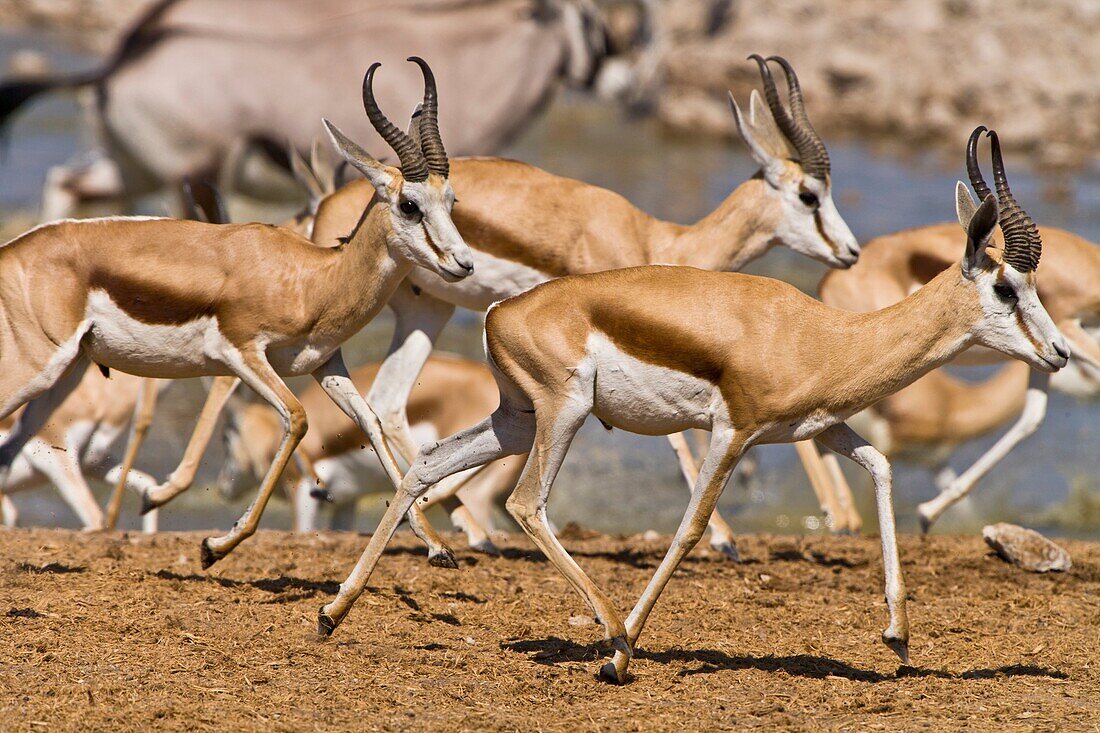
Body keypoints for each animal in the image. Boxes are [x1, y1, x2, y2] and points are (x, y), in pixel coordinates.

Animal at [0, 0, 611, 217]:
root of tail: (120, 62)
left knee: (66, 185)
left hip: (133, 171)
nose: (628, 87)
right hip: (195, 179)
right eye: (595, 21)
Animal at [0, 61, 473, 563]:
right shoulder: (242, 354)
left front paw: (437, 546)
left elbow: (372, 422)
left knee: (8, 451)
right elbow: (297, 419)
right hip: (37, 368)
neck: (313, 278)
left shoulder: (326, 365)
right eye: (409, 204)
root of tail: (15, 249)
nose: (463, 264)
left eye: (452, 200)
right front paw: (216, 546)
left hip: (64, 376)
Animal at [146, 54, 862, 561]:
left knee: (387, 402)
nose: (851, 252)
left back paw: (447, 526)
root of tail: (327, 201)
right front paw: (726, 540)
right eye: (809, 193)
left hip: (425, 313)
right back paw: (173, 495)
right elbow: (680, 439)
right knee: (240, 380)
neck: (657, 238)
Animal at [314, 125, 1069, 677]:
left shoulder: (816, 429)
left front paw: (898, 637)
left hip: (515, 419)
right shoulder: (733, 432)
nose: (1061, 353)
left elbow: (881, 468)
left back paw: (333, 613)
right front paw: (621, 656)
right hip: (563, 414)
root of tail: (504, 310)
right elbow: (691, 527)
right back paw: (614, 637)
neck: (824, 335)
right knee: (526, 504)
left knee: (426, 466)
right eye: (1007, 288)